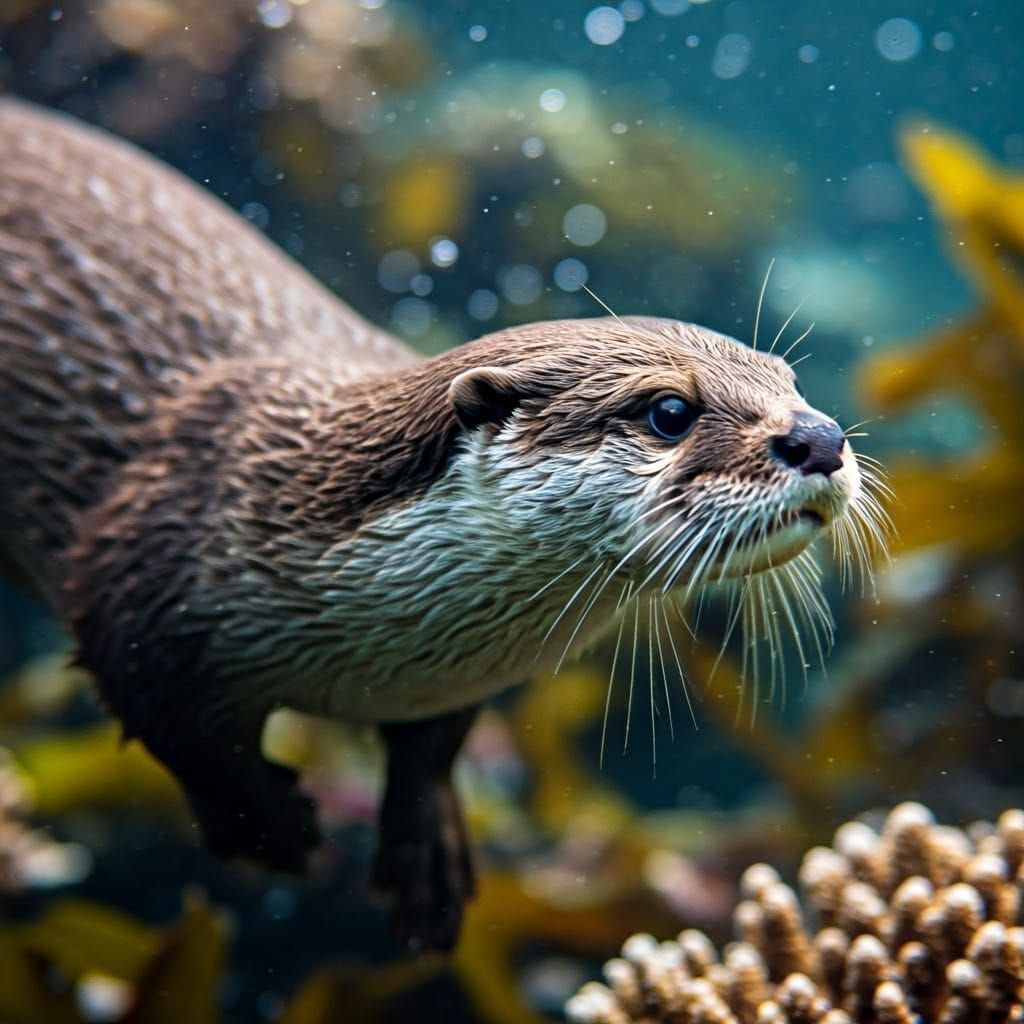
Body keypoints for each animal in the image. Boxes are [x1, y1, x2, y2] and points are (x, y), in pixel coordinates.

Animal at [0, 100, 885, 950]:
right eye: (669, 411)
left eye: (789, 380)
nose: (821, 439)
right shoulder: (138, 591)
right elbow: (188, 737)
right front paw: (272, 829)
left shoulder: (445, 683)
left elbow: (432, 749)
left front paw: (426, 857)